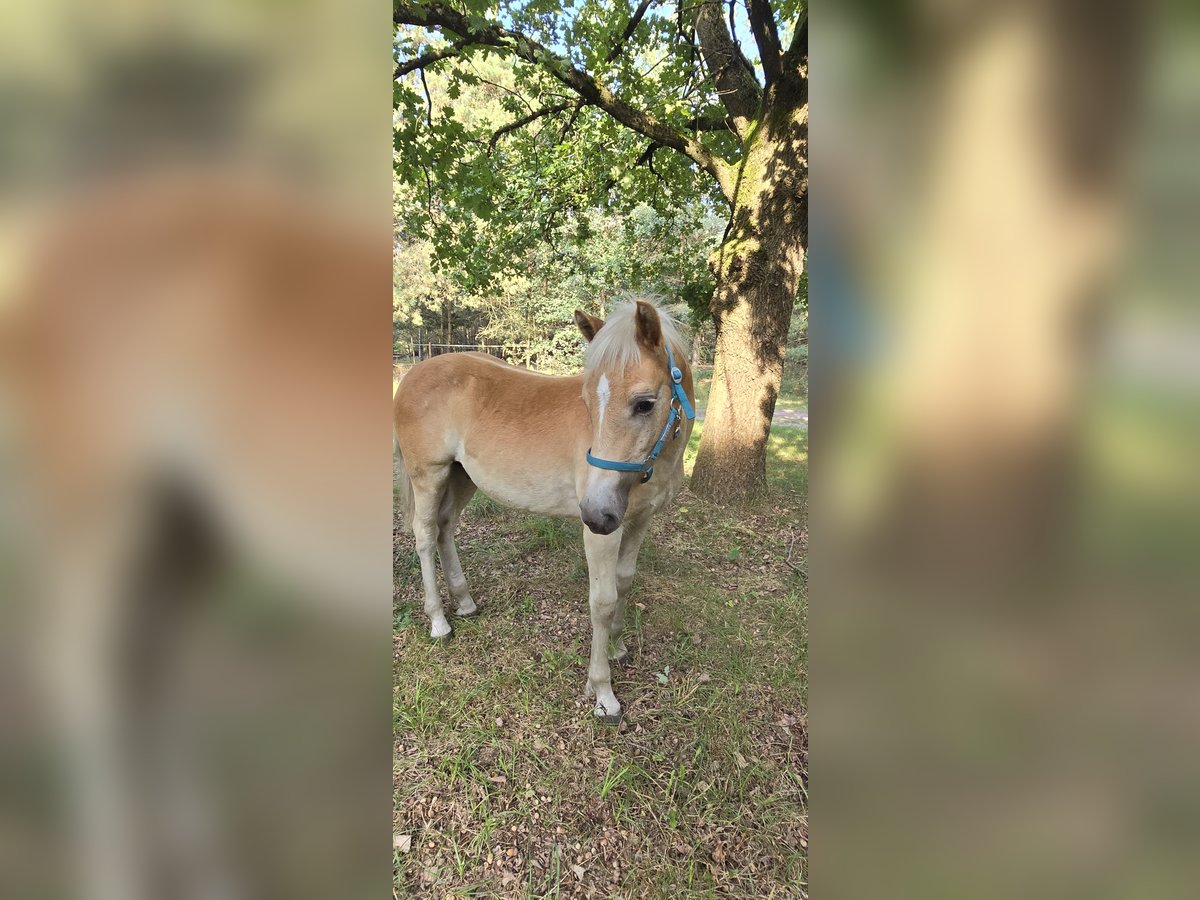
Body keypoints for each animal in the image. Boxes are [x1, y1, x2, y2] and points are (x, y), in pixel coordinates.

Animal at [393, 300, 696, 724]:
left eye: (644, 404)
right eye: (586, 403)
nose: (596, 512)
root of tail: (412, 374)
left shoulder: (638, 519)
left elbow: (624, 582)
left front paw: (618, 648)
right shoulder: (603, 532)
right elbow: (602, 600)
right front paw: (602, 693)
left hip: (462, 477)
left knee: (444, 528)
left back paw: (465, 603)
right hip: (429, 475)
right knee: (423, 536)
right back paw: (439, 621)